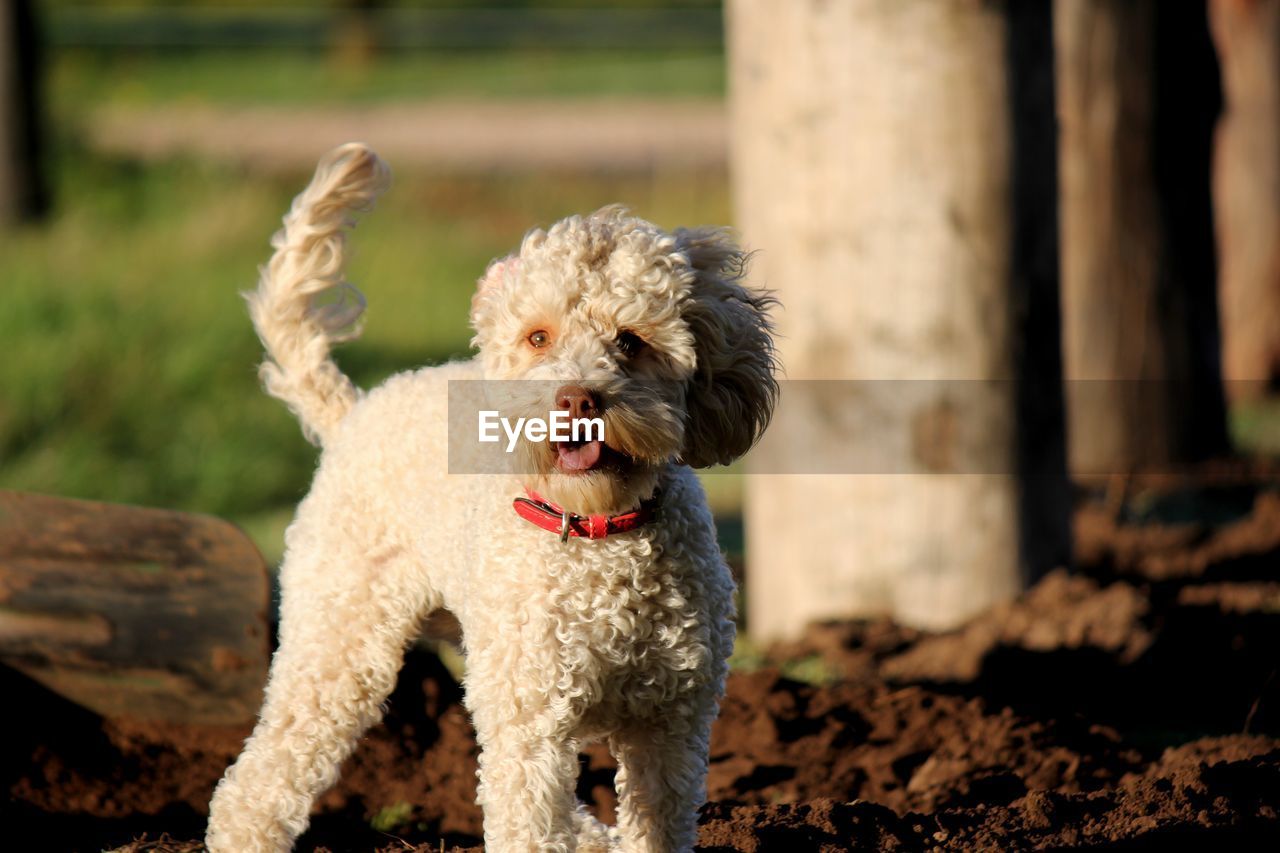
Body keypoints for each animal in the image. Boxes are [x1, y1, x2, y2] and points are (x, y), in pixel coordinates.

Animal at [204, 142, 773, 845]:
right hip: (341, 636)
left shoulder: (672, 725)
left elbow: (655, 827)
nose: (577, 399)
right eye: (538, 337)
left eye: (631, 340)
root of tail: (355, 408)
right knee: (263, 772)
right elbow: (528, 825)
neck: (597, 533)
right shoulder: (531, 722)